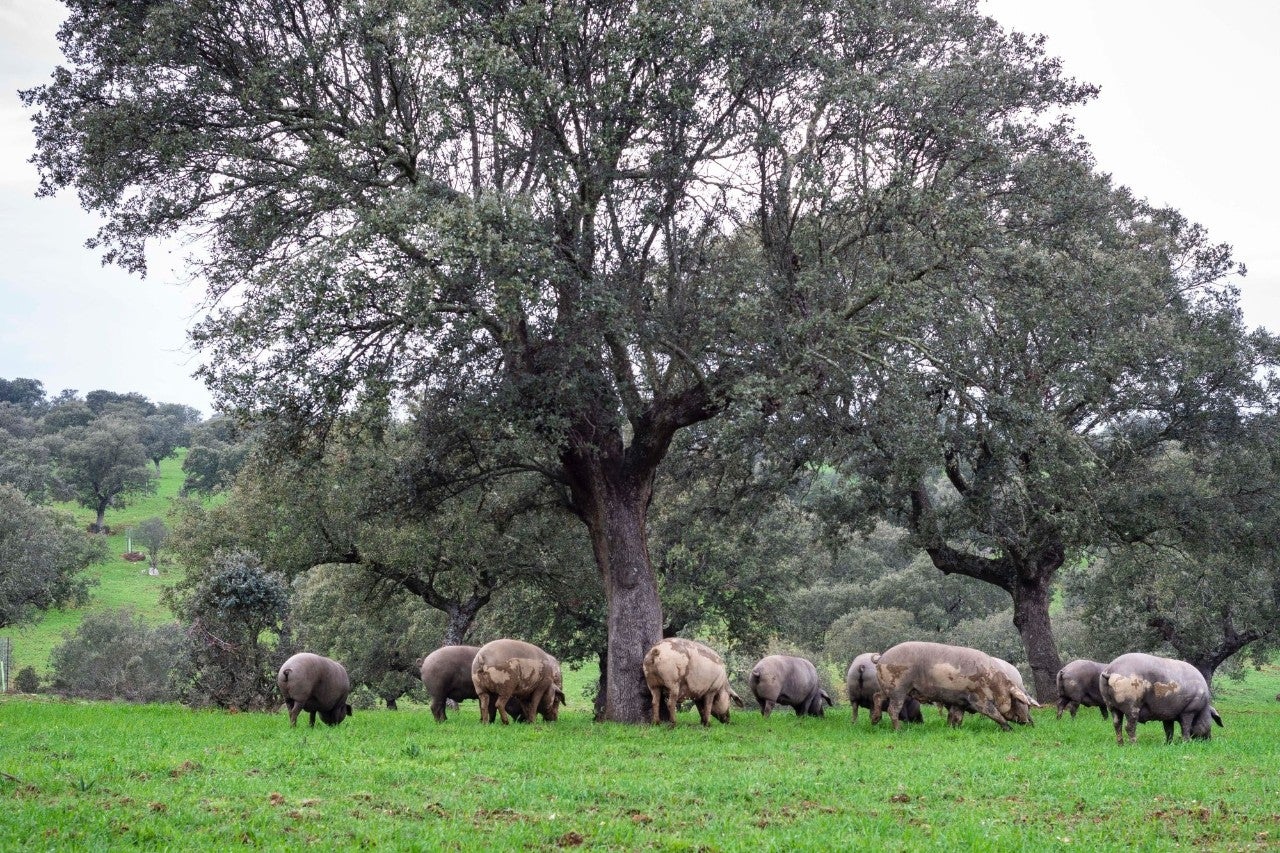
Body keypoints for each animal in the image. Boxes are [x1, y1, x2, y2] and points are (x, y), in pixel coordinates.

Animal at [870, 637, 1039, 732]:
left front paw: (954, 729)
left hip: (887, 687)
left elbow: (956, 716)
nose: (1029, 722)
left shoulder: (960, 701)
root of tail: (882, 657)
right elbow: (993, 713)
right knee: (893, 709)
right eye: (1019, 701)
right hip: (898, 688)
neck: (994, 683)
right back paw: (899, 730)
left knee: (877, 696)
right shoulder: (977, 698)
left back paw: (874, 721)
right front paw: (1010, 730)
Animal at [1095, 653, 1223, 742]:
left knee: (1117, 724)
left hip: (1111, 704)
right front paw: (1186, 742)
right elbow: (1185, 727)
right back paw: (1134, 744)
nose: (1209, 740)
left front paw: (1168, 743)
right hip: (1132, 703)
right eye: (1211, 721)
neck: (1203, 708)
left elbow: (1169, 730)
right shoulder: (1189, 710)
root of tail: (1110, 671)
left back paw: (1120, 744)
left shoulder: (1168, 715)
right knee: (1129, 725)